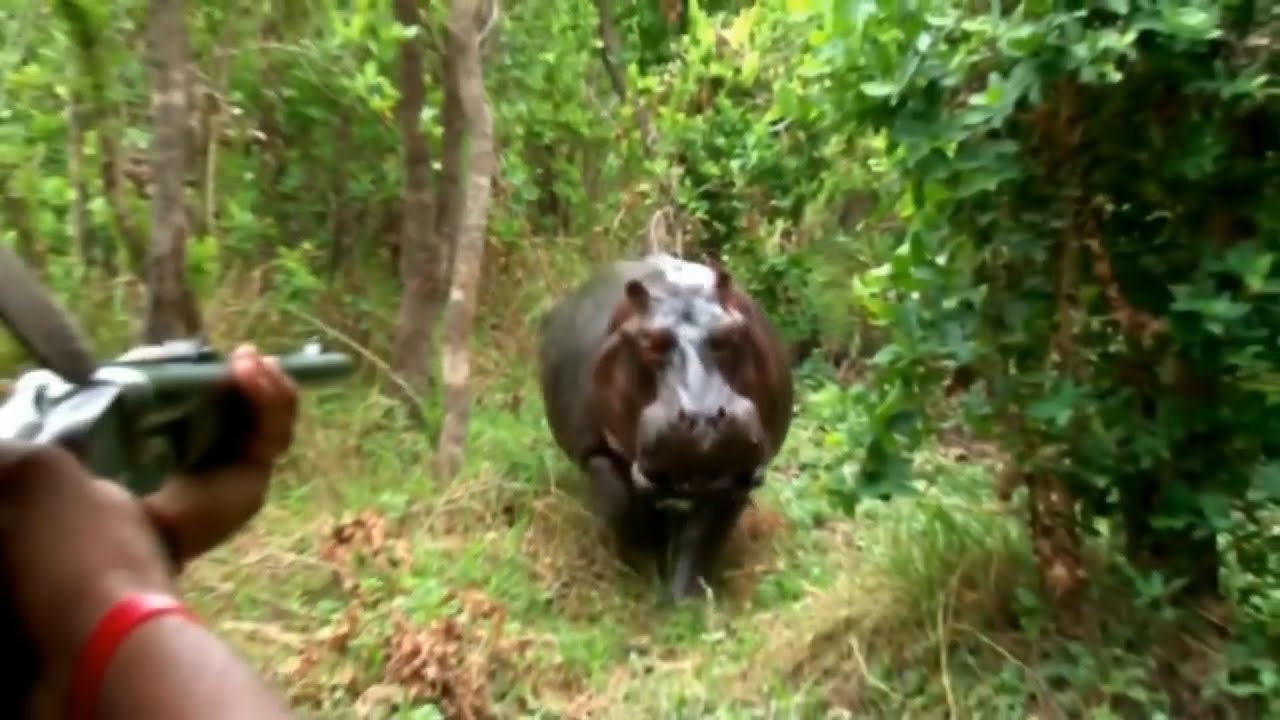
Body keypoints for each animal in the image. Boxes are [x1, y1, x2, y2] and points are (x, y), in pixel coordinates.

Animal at [537, 253, 794, 602]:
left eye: (732, 332)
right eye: (648, 342)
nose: (704, 416)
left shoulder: (736, 472)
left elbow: (704, 537)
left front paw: (686, 600)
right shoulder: (596, 451)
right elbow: (623, 508)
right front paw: (646, 573)